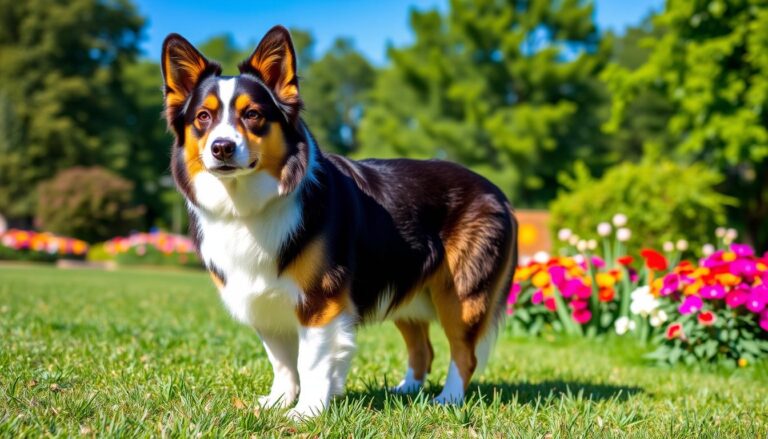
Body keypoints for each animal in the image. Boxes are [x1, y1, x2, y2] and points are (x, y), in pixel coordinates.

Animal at [160, 26, 520, 420]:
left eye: (253, 114)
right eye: (203, 117)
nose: (222, 147)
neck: (247, 204)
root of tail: (498, 193)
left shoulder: (321, 300)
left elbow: (311, 361)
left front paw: (307, 411)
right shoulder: (262, 296)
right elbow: (281, 360)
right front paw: (279, 400)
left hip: (462, 294)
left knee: (464, 353)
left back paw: (448, 399)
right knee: (423, 347)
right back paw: (407, 391)